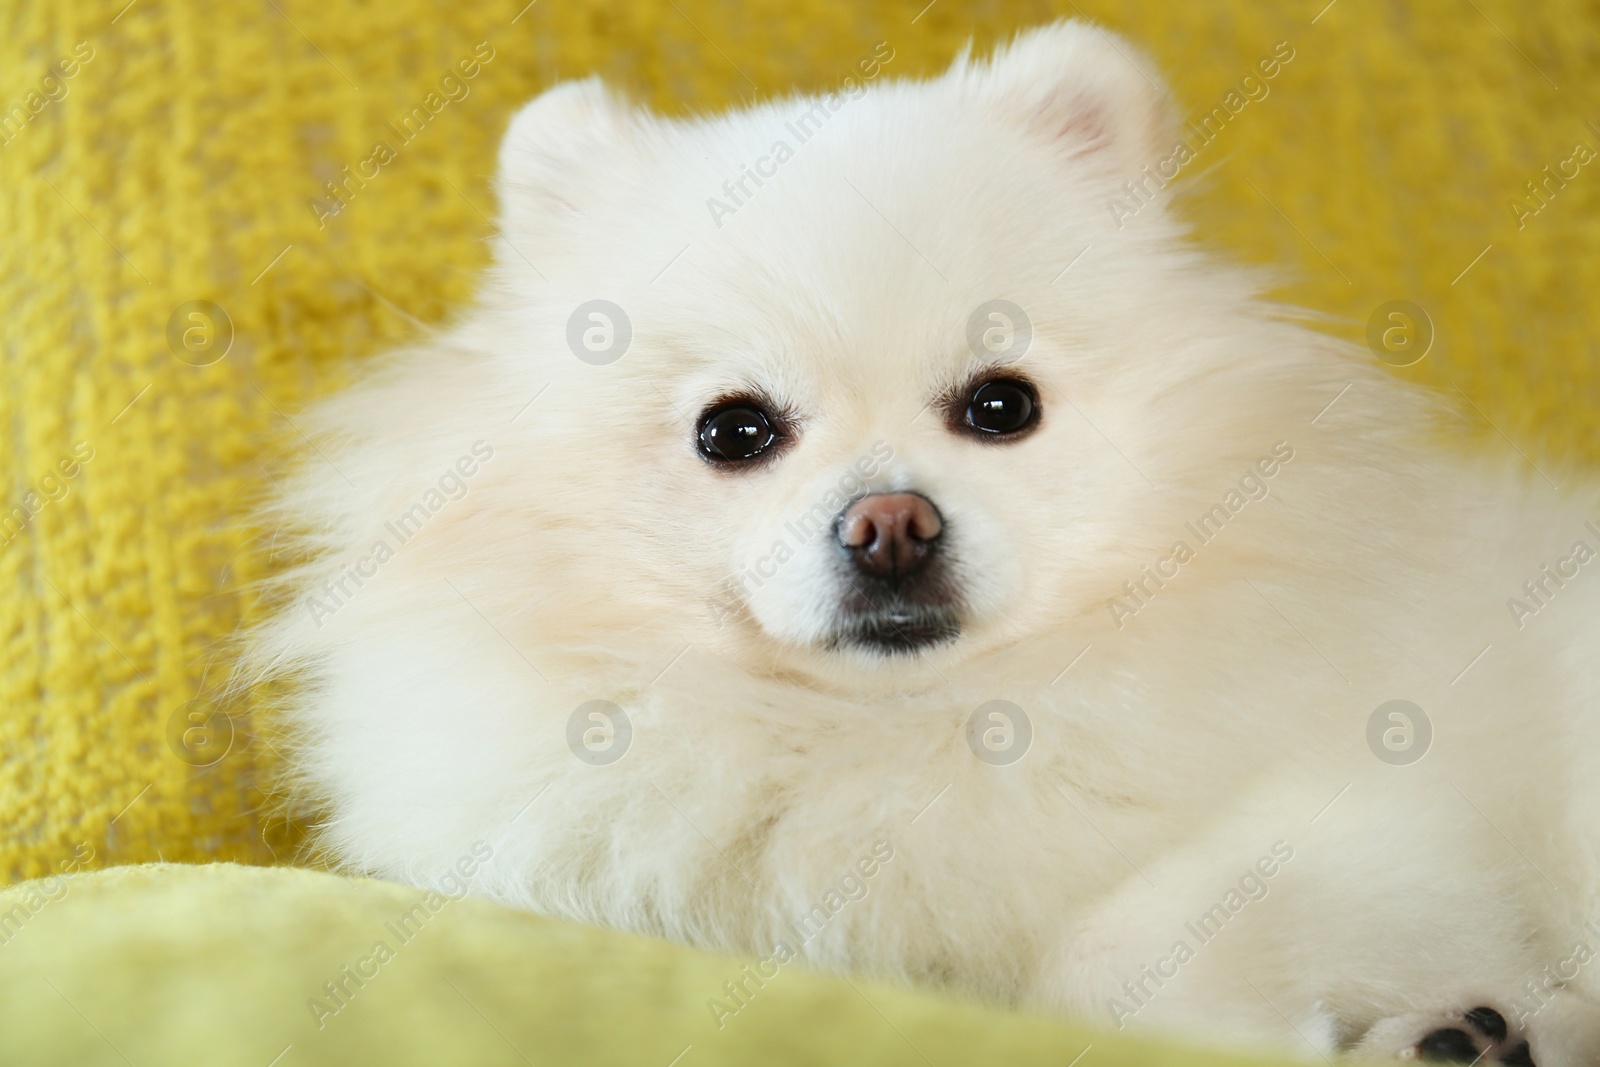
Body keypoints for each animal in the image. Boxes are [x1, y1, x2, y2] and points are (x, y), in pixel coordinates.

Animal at [246, 18, 1600, 1067]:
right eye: (733, 430)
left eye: (1002, 405)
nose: (890, 521)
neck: (896, 728)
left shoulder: (1379, 821)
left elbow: (1119, 941)